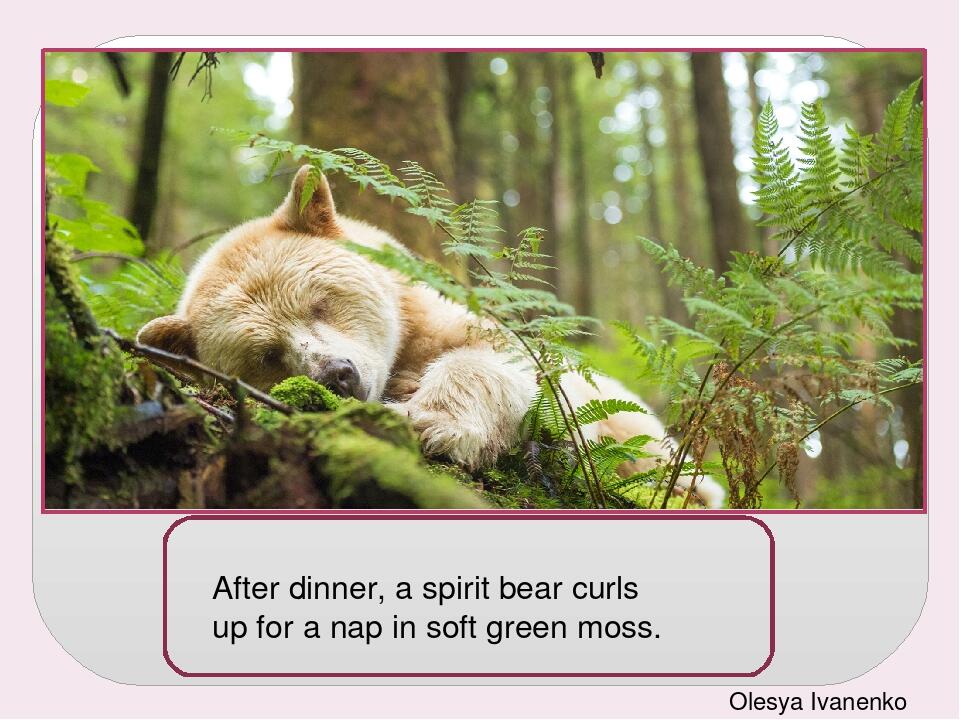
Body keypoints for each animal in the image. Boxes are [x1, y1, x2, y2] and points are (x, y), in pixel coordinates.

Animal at [137, 166, 725, 508]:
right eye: (266, 354)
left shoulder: (451, 323)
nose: (339, 374)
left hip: (633, 424)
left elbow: (510, 367)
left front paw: (427, 418)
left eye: (319, 301)